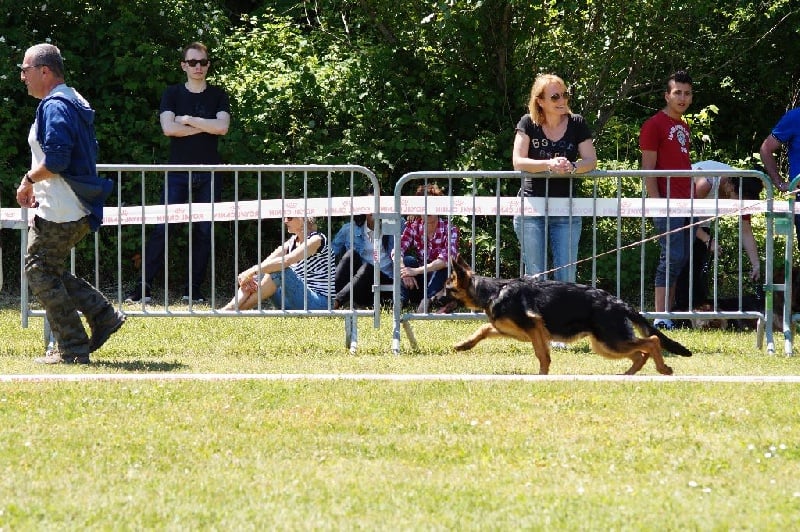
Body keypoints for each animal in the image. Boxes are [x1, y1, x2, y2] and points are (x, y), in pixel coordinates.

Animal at [438, 256, 692, 376]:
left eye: (446, 288)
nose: (433, 299)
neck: (493, 291)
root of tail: (617, 301)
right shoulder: (513, 330)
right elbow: (483, 329)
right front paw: (464, 344)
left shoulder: (533, 328)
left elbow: (542, 355)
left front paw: (542, 375)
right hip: (605, 345)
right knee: (640, 353)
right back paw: (628, 374)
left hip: (611, 341)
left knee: (652, 341)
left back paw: (663, 369)